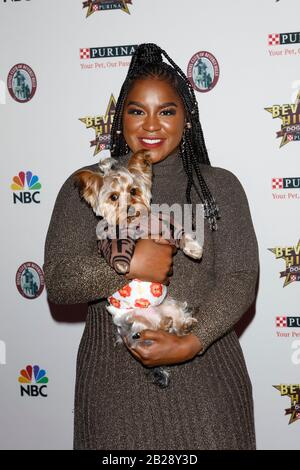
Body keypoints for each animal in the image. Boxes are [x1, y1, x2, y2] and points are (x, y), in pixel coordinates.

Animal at [74, 151, 203, 390]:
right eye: (114, 197)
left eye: (133, 191)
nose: (130, 209)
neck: (139, 225)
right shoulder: (111, 239)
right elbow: (117, 248)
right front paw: (123, 264)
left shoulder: (167, 225)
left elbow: (181, 233)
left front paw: (194, 249)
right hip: (128, 322)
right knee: (140, 330)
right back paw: (162, 324)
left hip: (170, 305)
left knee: (176, 324)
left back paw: (181, 324)